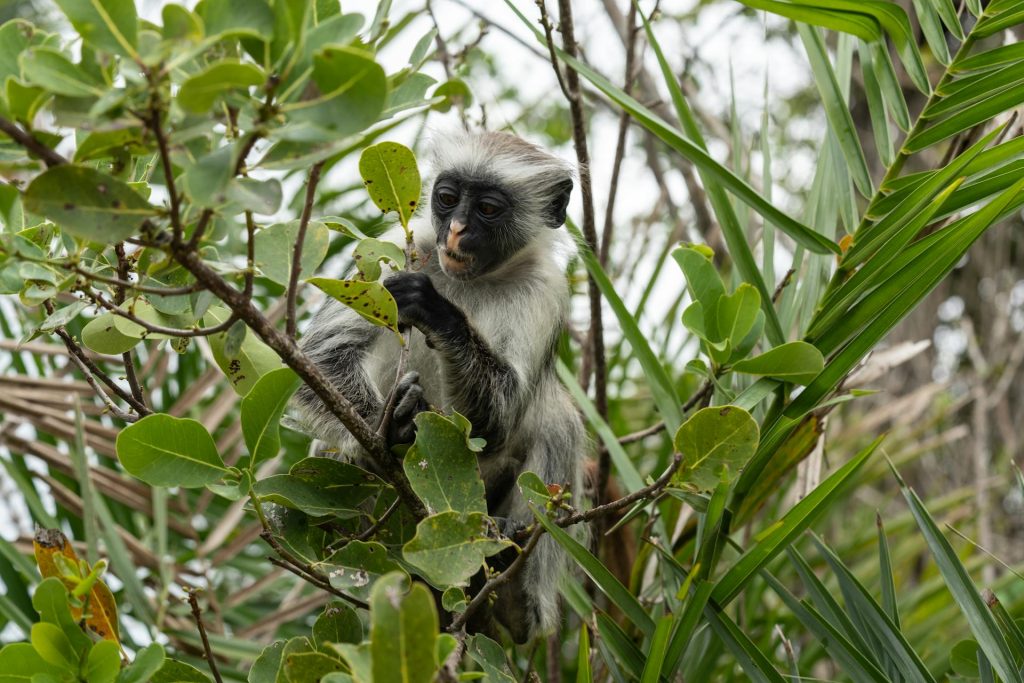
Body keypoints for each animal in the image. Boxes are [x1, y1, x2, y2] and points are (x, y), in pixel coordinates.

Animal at [292, 130, 585, 642]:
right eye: (448, 199)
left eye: (487, 208)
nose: (456, 231)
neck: (474, 280)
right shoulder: (403, 246)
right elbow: (325, 356)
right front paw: (389, 427)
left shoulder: (544, 287)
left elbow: (497, 421)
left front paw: (439, 314)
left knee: (558, 422)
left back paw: (515, 601)